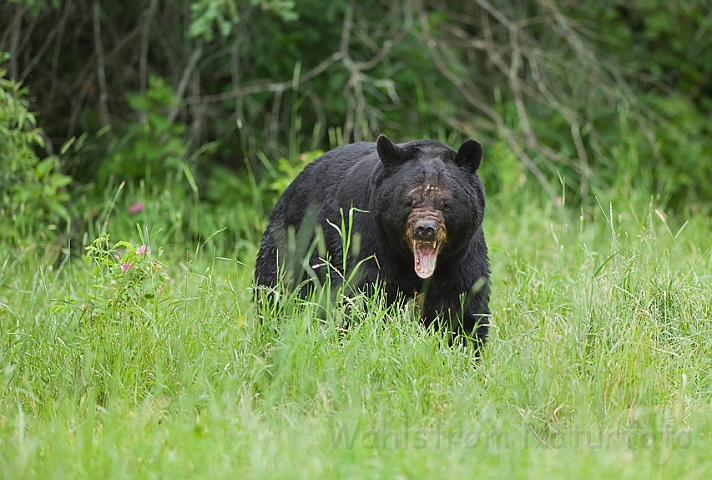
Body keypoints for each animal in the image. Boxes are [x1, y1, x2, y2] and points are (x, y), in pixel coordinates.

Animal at [253, 135, 492, 344]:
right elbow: (361, 293)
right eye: (409, 201)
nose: (425, 228)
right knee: (277, 289)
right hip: (292, 241)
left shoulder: (461, 257)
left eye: (445, 203)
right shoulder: (367, 237)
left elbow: (462, 303)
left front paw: (464, 346)